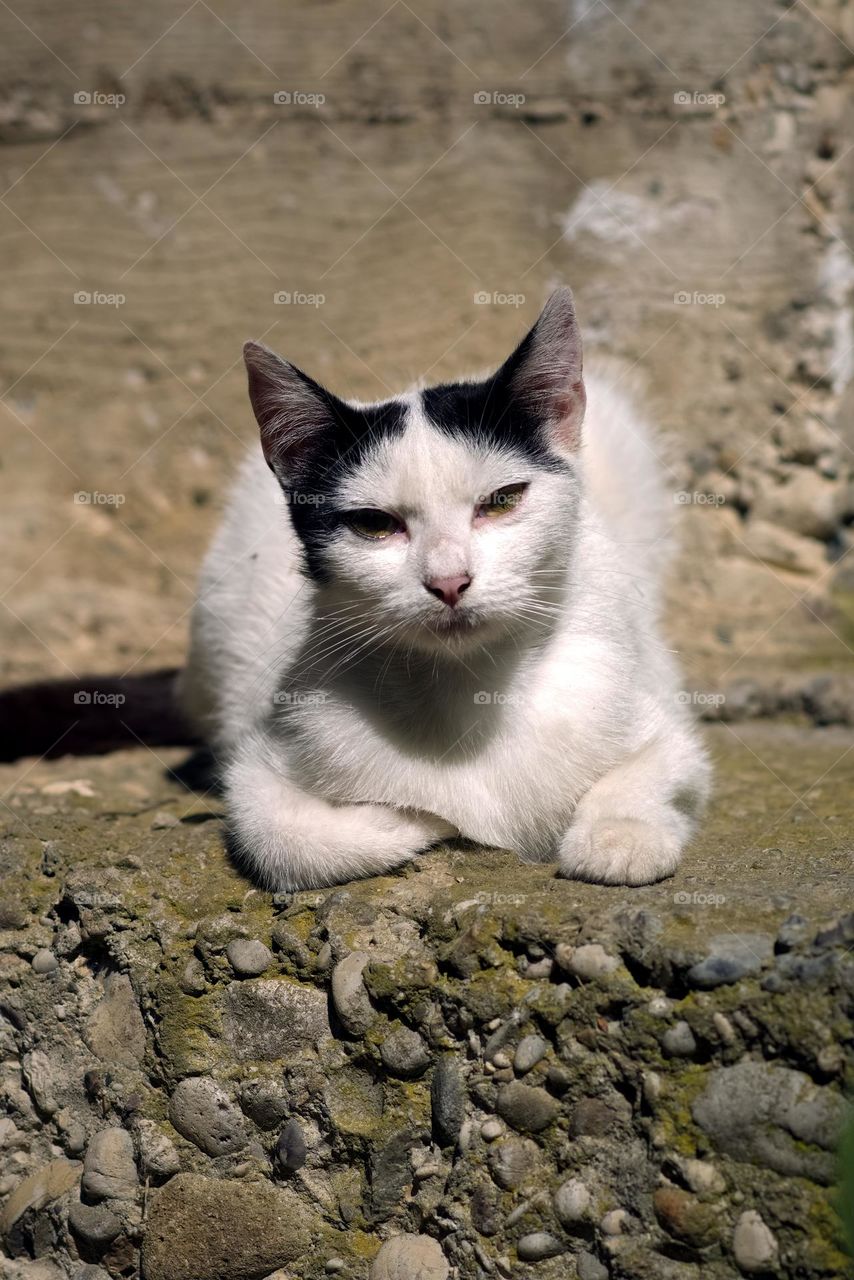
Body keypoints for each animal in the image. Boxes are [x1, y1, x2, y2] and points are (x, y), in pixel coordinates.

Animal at [181, 289, 717, 890]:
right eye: (373, 524)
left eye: (502, 500)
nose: (449, 582)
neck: (471, 691)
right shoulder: (260, 769)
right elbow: (283, 837)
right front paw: (424, 822)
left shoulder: (664, 735)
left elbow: (653, 772)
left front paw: (619, 837)